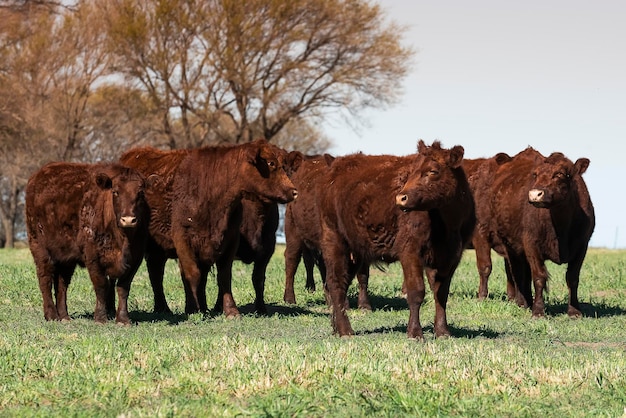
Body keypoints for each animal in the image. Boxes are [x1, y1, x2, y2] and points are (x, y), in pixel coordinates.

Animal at [24, 162, 149, 324]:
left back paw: (64, 316)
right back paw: (51, 315)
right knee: (45, 279)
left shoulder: (136, 258)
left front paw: (123, 319)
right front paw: (101, 318)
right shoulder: (92, 256)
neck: (122, 240)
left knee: (61, 284)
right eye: (115, 192)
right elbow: (101, 285)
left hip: (66, 258)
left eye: (140, 193)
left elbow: (123, 287)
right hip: (40, 248)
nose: (128, 219)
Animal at [122, 139, 298, 316]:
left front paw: (231, 311)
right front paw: (193, 309)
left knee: (157, 271)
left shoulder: (234, 242)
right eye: (271, 163)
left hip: (159, 249)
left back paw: (168, 308)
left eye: (284, 165)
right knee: (157, 274)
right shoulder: (183, 240)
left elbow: (227, 277)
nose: (294, 191)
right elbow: (192, 275)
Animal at [316, 140, 472, 340]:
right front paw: (415, 332)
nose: (401, 197)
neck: (448, 225)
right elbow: (416, 291)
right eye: (412, 171)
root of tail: (335, 167)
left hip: (355, 252)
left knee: (341, 283)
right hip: (334, 240)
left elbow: (441, 294)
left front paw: (443, 331)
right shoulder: (410, 251)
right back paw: (345, 330)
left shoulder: (451, 257)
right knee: (335, 282)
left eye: (433, 171)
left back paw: (336, 327)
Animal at [468, 147, 596, 316]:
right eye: (535, 174)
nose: (535, 194)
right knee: (508, 271)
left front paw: (574, 311)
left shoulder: (582, 245)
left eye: (560, 174)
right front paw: (538, 311)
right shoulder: (531, 244)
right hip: (500, 241)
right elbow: (539, 277)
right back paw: (518, 302)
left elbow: (572, 278)